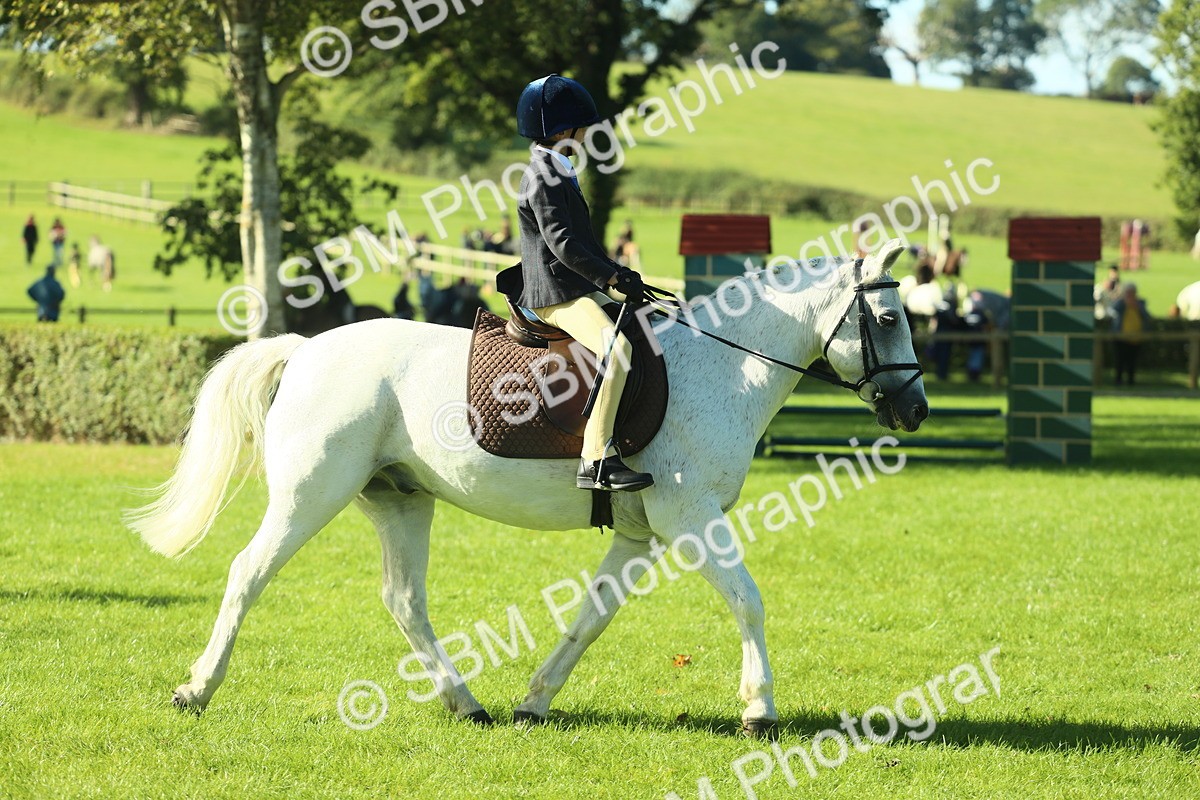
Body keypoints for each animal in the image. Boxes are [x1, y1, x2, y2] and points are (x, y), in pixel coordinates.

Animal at [126, 239, 928, 734]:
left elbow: (591, 617)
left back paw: (467, 704)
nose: (915, 410)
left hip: (400, 498)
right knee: (248, 572)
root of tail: (306, 349)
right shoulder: (690, 516)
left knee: (404, 600)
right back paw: (196, 689)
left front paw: (536, 701)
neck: (724, 366)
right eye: (890, 317)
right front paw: (759, 710)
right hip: (310, 494)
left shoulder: (641, 534)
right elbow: (748, 601)